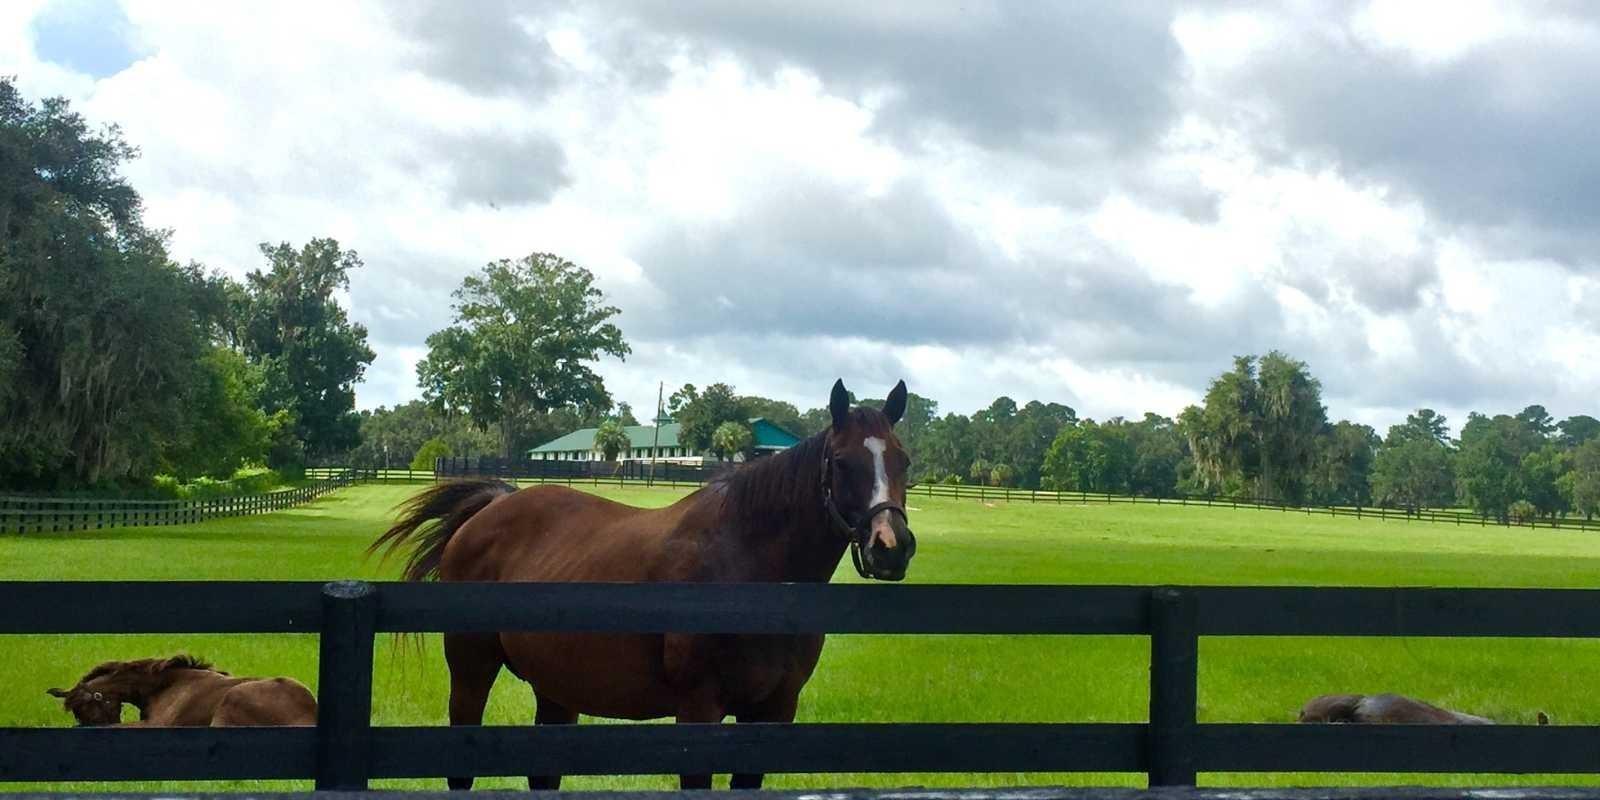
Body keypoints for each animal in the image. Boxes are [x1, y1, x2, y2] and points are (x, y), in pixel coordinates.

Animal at [373, 379, 918, 791]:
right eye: (842, 461)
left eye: (903, 461)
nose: (891, 545)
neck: (745, 565)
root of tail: (495, 503)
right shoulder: (698, 711)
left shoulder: (773, 714)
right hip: (471, 670)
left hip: (555, 688)